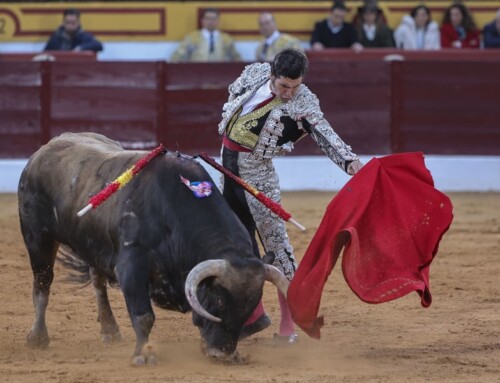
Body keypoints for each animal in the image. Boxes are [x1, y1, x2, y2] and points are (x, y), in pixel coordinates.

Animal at [18, 134, 290, 366]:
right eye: (218, 301)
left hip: (93, 244)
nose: (221, 354)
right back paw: (38, 337)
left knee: (97, 281)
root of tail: (43, 151)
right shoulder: (131, 268)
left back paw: (110, 330)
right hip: (38, 239)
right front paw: (143, 355)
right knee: (42, 284)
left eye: (250, 307)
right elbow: (143, 317)